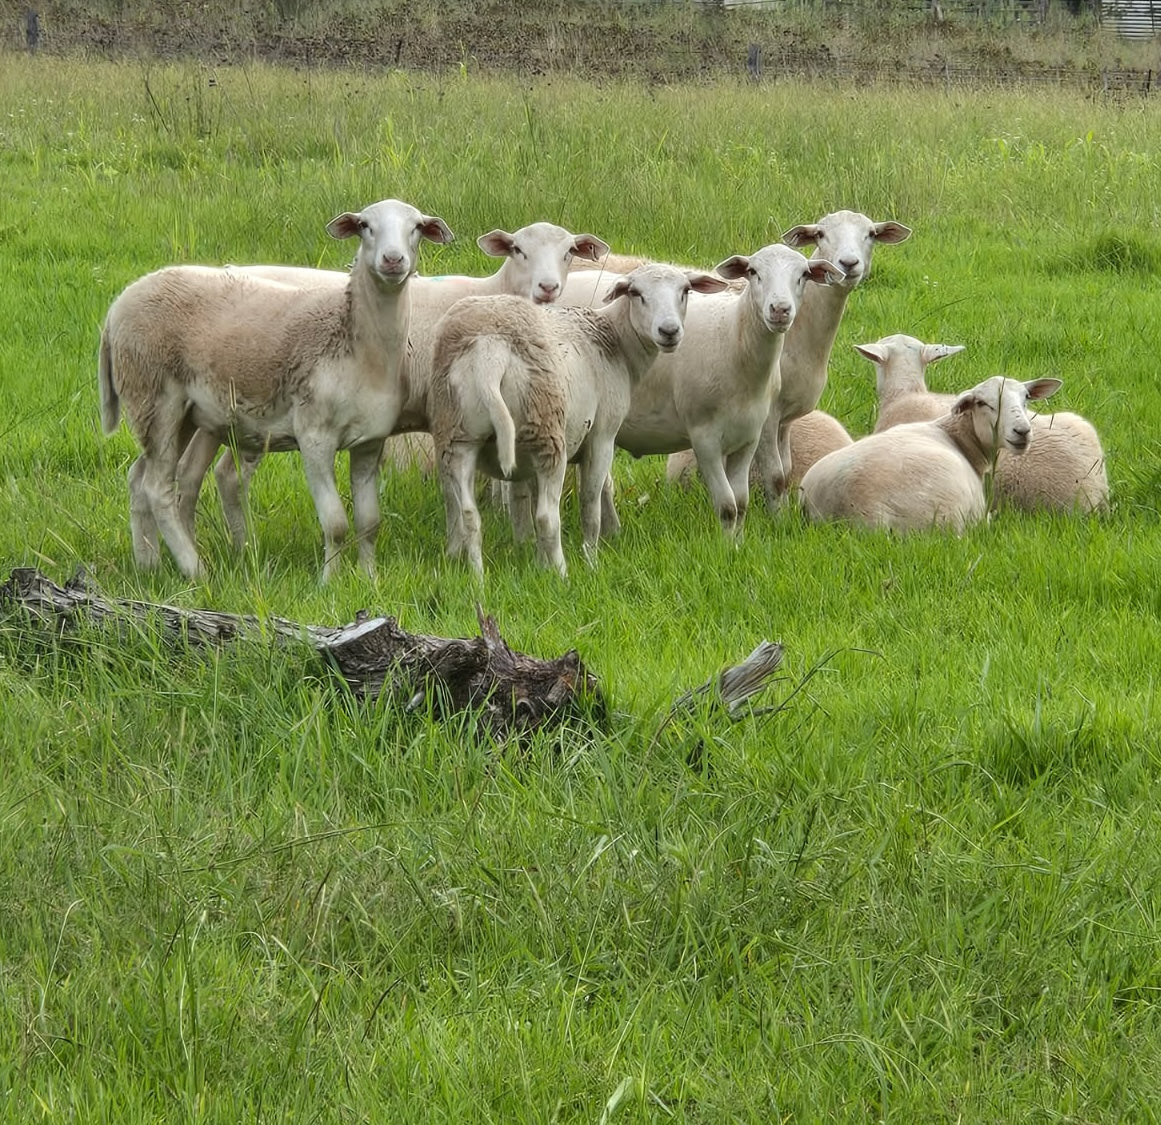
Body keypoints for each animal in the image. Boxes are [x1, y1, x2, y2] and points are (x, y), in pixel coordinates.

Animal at [98, 197, 454, 581]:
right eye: (364, 226)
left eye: (416, 228)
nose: (392, 260)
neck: (357, 343)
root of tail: (116, 307)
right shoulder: (314, 437)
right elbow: (336, 523)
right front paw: (328, 582)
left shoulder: (369, 442)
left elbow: (369, 522)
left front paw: (369, 578)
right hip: (154, 395)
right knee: (157, 489)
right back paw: (196, 571)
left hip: (179, 414)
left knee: (138, 479)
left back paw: (148, 566)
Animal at [208, 222, 610, 551]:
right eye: (518, 250)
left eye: (569, 252)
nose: (548, 288)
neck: (494, 292)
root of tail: (230, 271)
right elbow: (455, 490)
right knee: (228, 476)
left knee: (225, 475)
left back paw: (241, 549)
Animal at [430, 263, 729, 577]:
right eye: (636, 293)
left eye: (686, 290)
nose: (669, 331)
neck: (616, 341)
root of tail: (491, 353)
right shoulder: (602, 436)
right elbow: (591, 504)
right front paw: (591, 561)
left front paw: (539, 563)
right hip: (546, 433)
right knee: (548, 516)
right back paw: (562, 574)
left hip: (457, 436)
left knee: (469, 515)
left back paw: (478, 577)